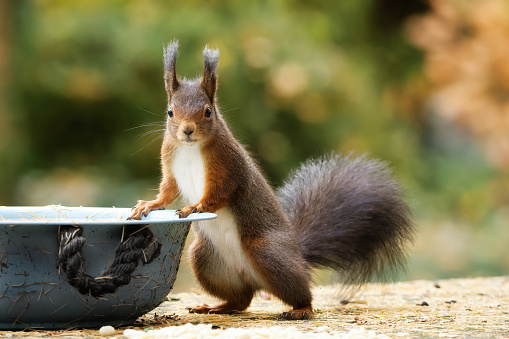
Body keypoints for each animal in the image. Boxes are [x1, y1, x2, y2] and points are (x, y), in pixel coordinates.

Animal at [129, 41, 414, 320]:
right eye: (170, 112)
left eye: (208, 112)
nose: (187, 130)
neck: (190, 148)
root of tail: (297, 253)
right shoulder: (170, 163)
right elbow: (168, 190)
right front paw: (149, 205)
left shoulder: (229, 166)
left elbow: (221, 192)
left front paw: (195, 207)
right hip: (207, 260)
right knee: (241, 300)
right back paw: (215, 306)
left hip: (267, 252)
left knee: (298, 291)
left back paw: (301, 309)